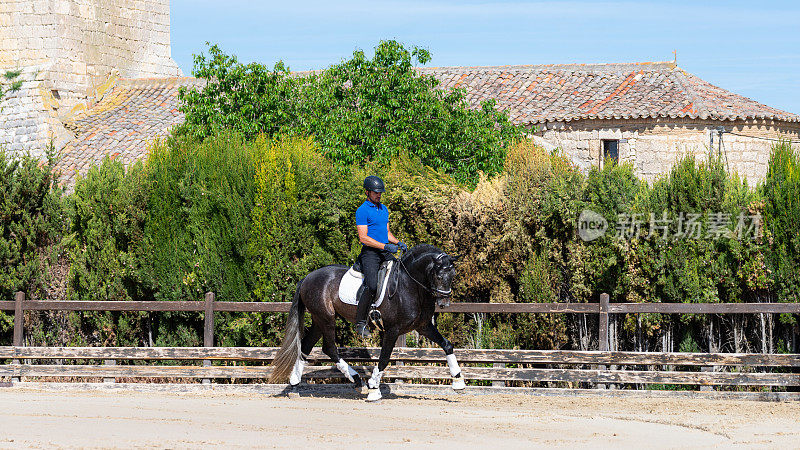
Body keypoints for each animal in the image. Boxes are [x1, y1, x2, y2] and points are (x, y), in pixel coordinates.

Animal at [272, 244, 466, 402]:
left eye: (453, 274)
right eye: (439, 275)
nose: (444, 303)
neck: (409, 285)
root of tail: (307, 278)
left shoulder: (423, 326)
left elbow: (447, 345)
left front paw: (458, 381)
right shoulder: (392, 330)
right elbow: (385, 357)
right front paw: (373, 388)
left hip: (319, 319)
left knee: (306, 345)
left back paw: (295, 385)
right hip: (326, 318)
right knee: (329, 348)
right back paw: (357, 379)